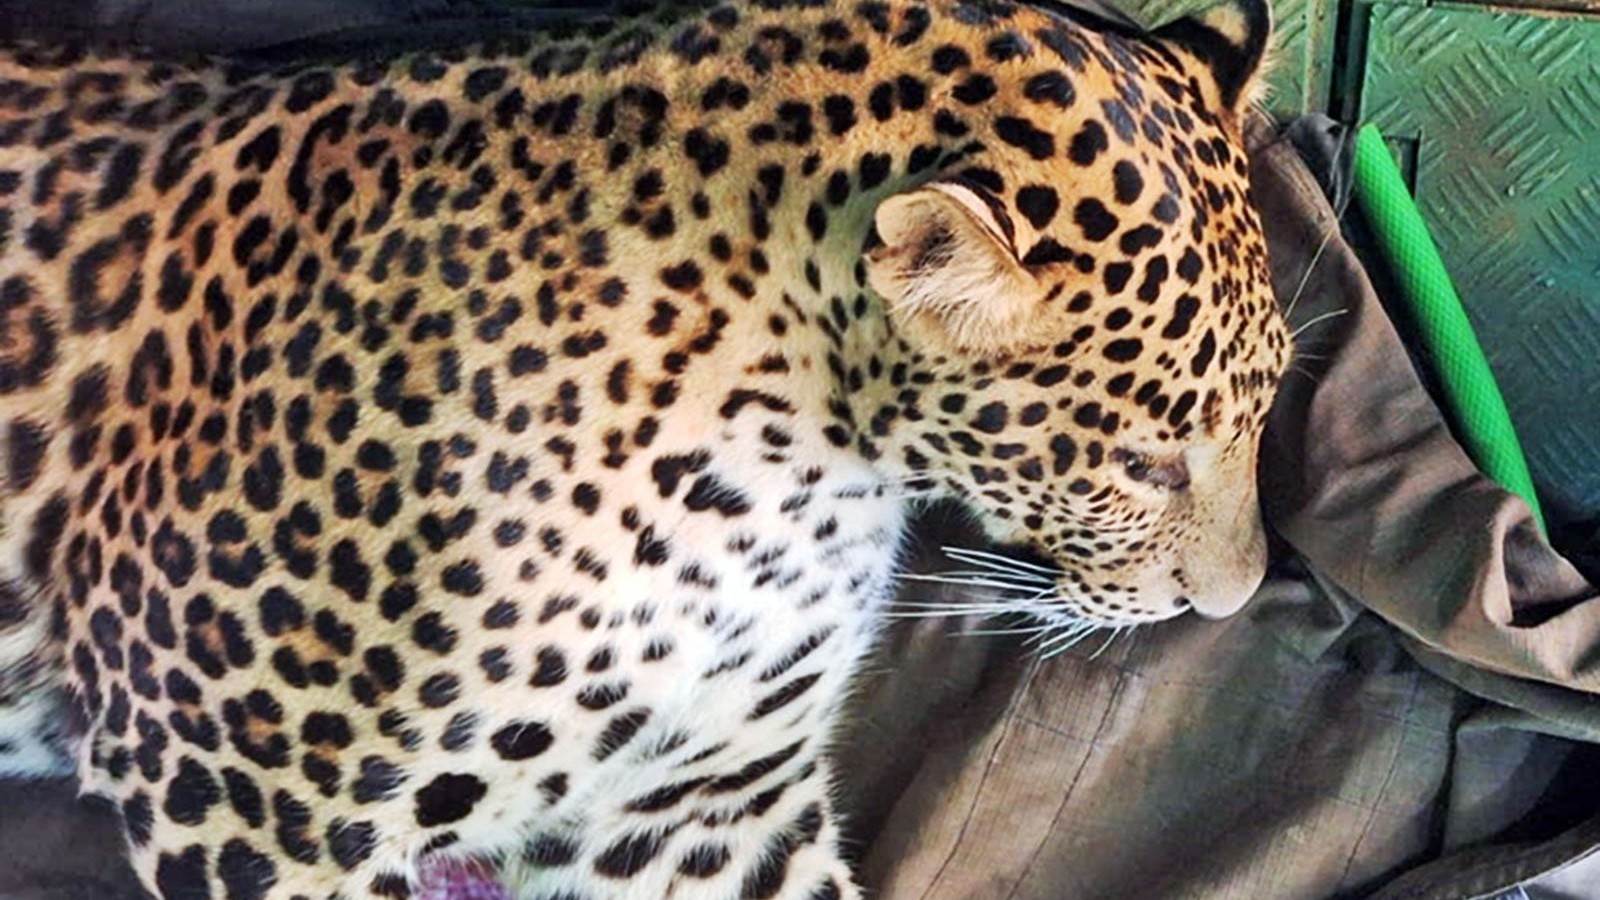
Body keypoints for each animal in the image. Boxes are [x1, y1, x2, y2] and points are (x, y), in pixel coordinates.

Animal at [0, 0, 1290, 897]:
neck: (790, 463)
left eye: (1270, 402)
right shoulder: (240, 797)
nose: (1235, 603)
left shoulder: (697, 805)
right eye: (1140, 463)